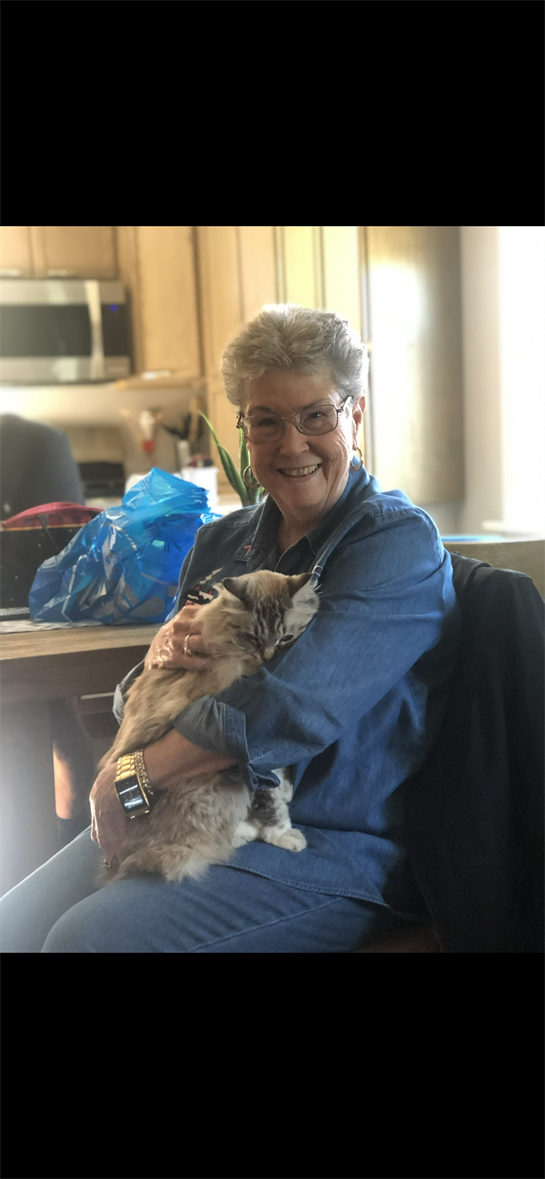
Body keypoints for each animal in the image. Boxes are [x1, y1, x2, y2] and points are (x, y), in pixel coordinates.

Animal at [100, 569, 319, 884]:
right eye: (252, 638)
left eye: (286, 637)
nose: (268, 657)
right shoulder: (246, 758)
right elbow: (270, 801)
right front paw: (284, 834)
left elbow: (279, 779)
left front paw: (287, 790)